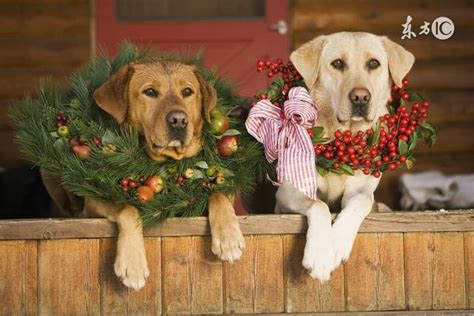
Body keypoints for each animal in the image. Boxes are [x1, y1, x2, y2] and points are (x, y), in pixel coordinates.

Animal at [40, 58, 244, 290]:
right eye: (150, 92)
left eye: (187, 91)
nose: (179, 120)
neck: (166, 164)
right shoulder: (94, 202)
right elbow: (127, 208)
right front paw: (133, 263)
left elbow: (217, 194)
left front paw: (228, 238)